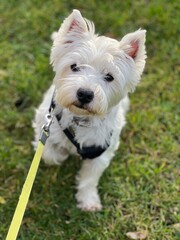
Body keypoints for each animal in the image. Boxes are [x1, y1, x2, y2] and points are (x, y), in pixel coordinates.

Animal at [33, 9, 147, 211]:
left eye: (109, 76)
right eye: (74, 66)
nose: (85, 94)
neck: (80, 118)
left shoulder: (101, 150)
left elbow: (89, 178)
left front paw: (88, 201)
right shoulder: (44, 124)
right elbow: (49, 153)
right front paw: (62, 153)